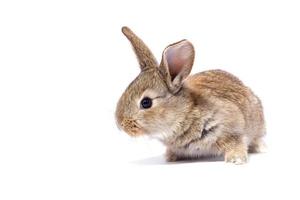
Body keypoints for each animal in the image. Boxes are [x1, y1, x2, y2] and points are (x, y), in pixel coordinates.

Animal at [115, 26, 264, 164]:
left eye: (146, 102)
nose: (120, 124)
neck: (184, 113)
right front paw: (170, 158)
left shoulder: (232, 127)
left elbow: (236, 142)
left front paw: (236, 159)